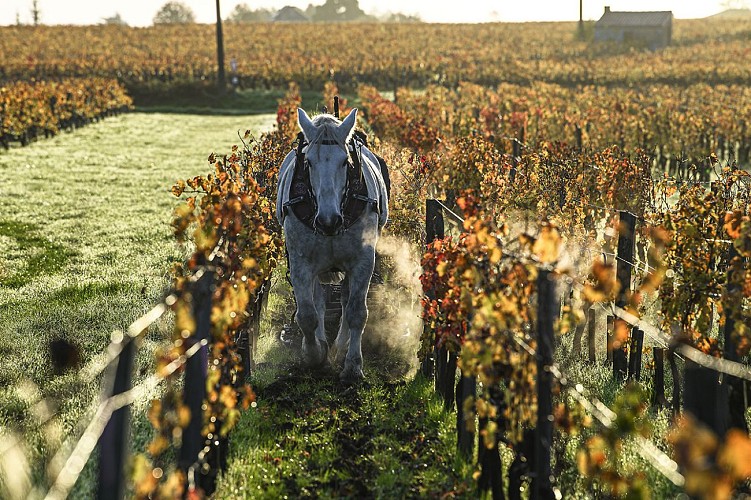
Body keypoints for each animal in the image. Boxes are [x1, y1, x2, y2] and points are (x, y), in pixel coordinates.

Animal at [280, 108, 390, 382]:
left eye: (345, 161)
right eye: (308, 162)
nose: (328, 221)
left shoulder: (363, 261)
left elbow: (356, 312)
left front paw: (353, 365)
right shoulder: (300, 264)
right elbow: (307, 314)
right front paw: (314, 354)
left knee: (346, 300)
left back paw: (340, 347)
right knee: (319, 301)